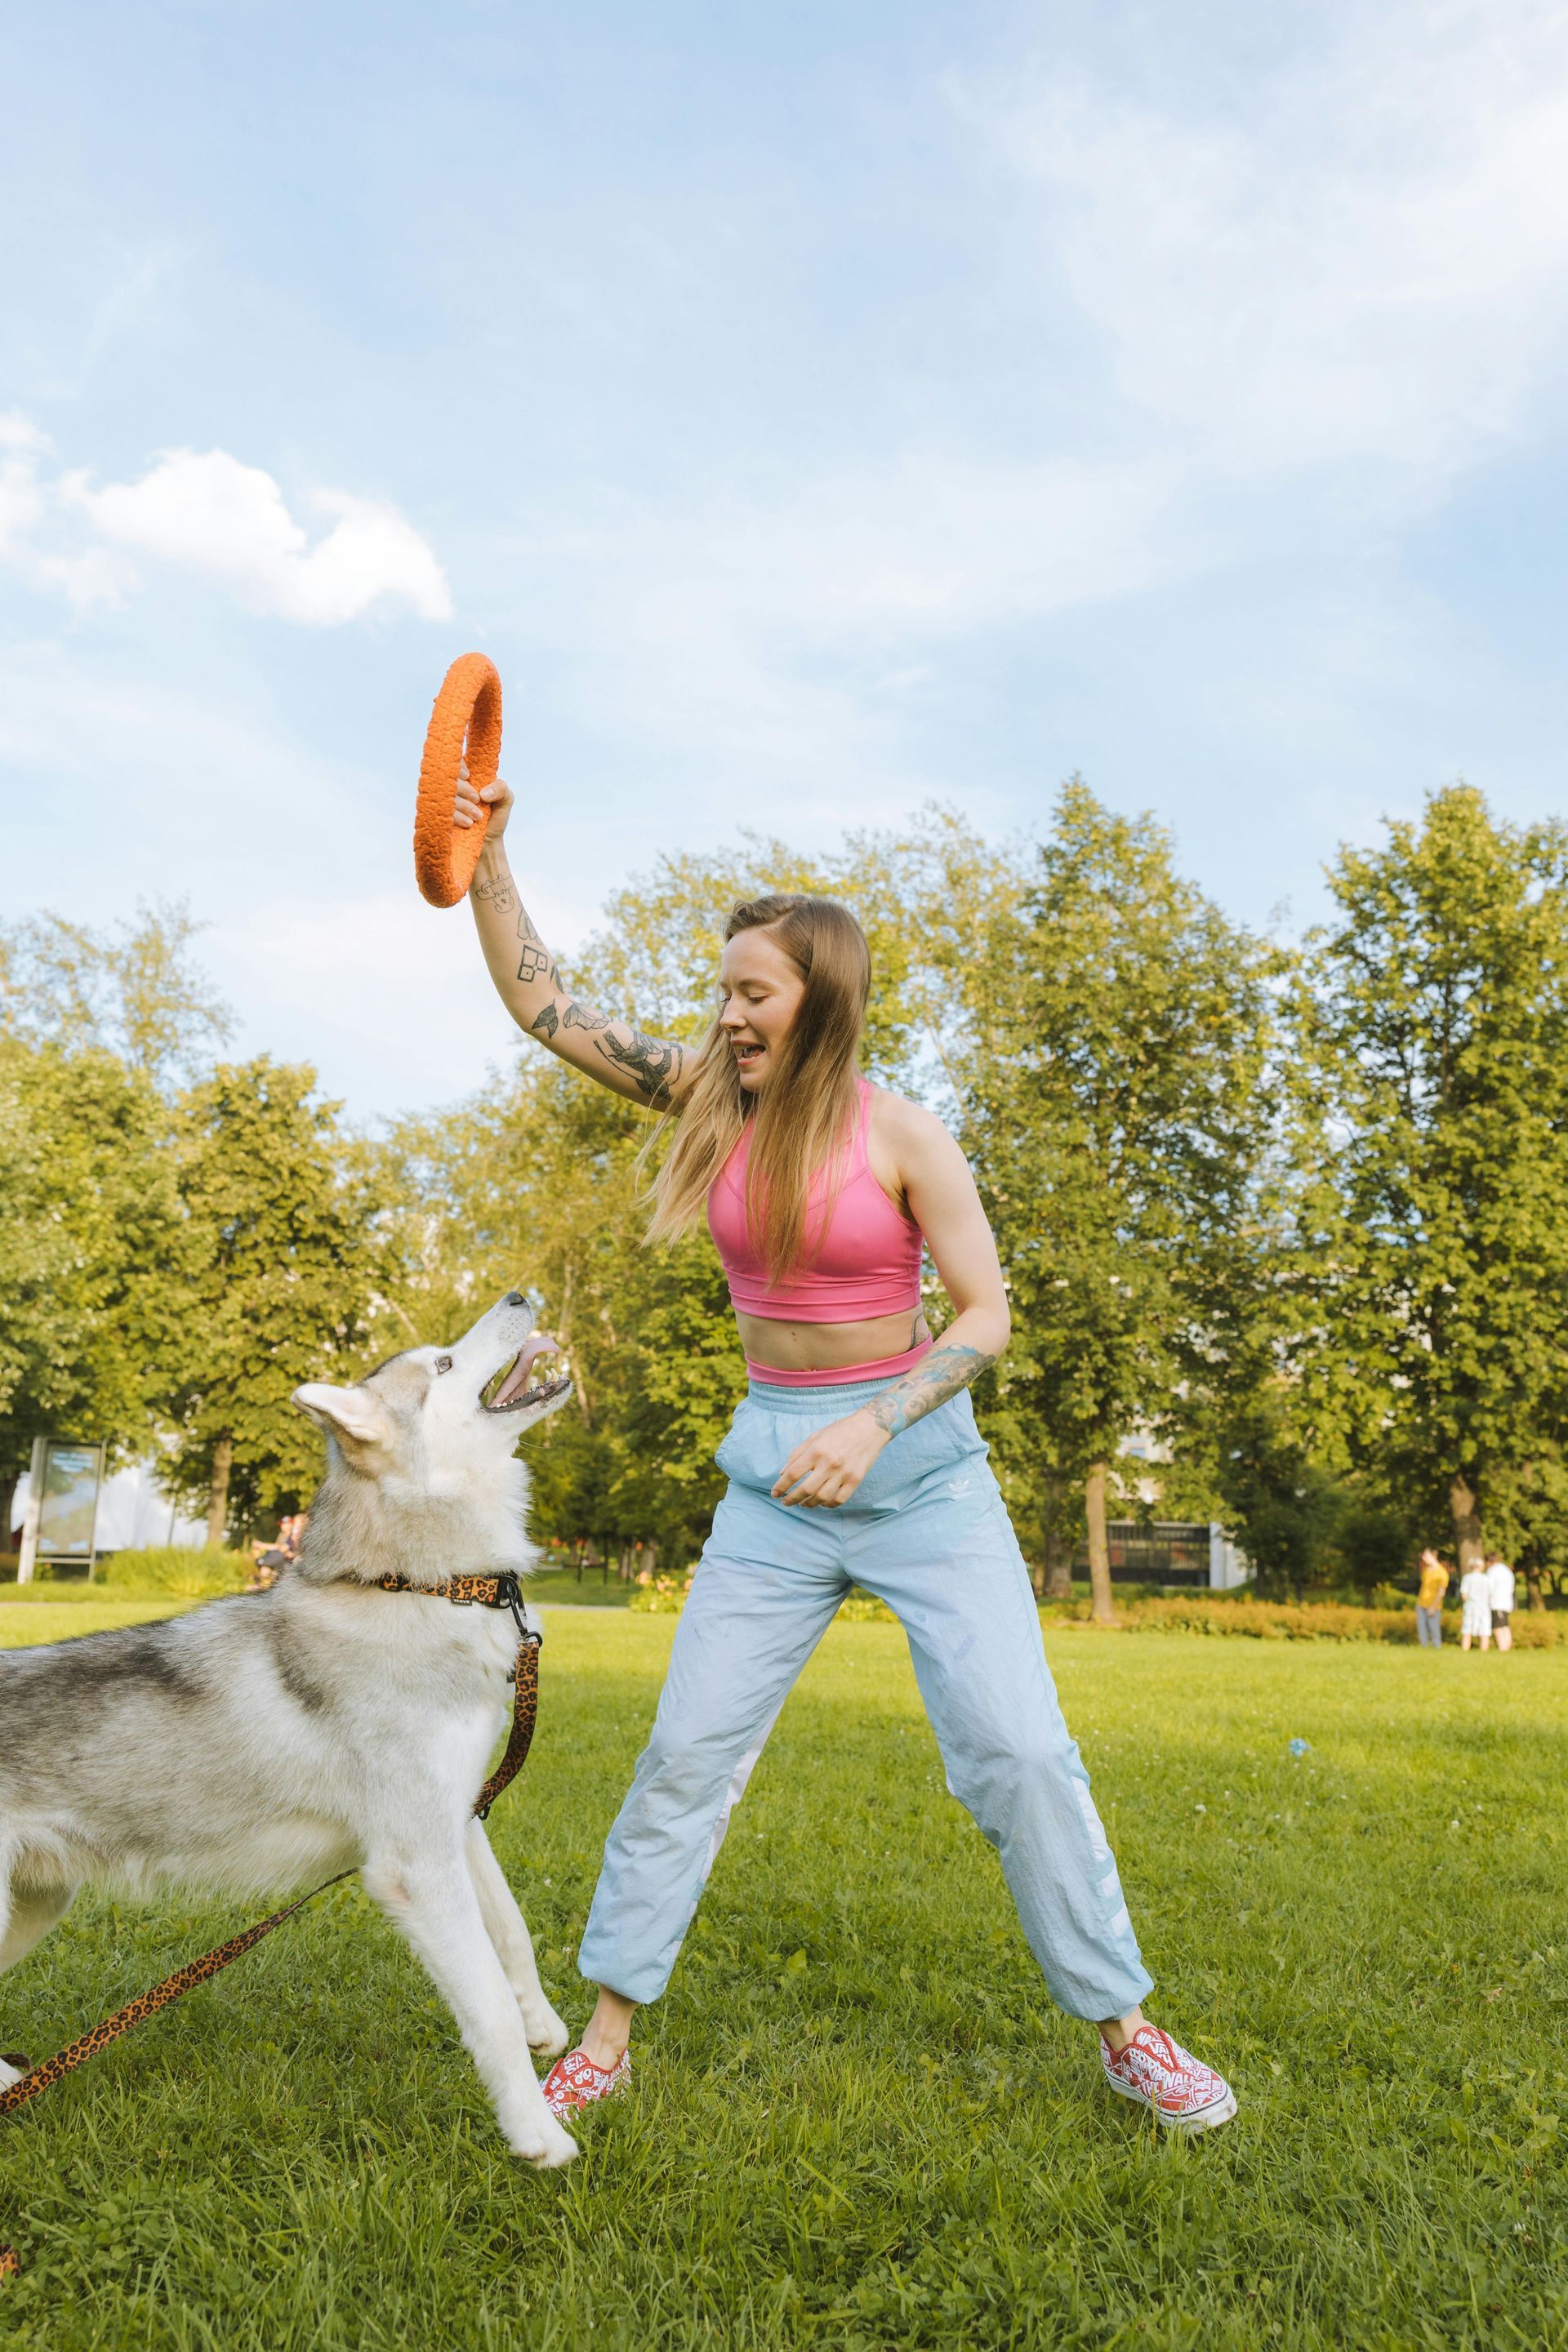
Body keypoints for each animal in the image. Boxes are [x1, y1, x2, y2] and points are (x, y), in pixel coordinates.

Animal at [0, 1289, 582, 2163]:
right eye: (444, 1363)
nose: (517, 1295)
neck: (419, 1587)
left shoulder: (456, 1817)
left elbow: (512, 1930)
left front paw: (543, 2022)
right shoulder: (416, 1863)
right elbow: (485, 2005)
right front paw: (536, 2132)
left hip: (35, 1903)